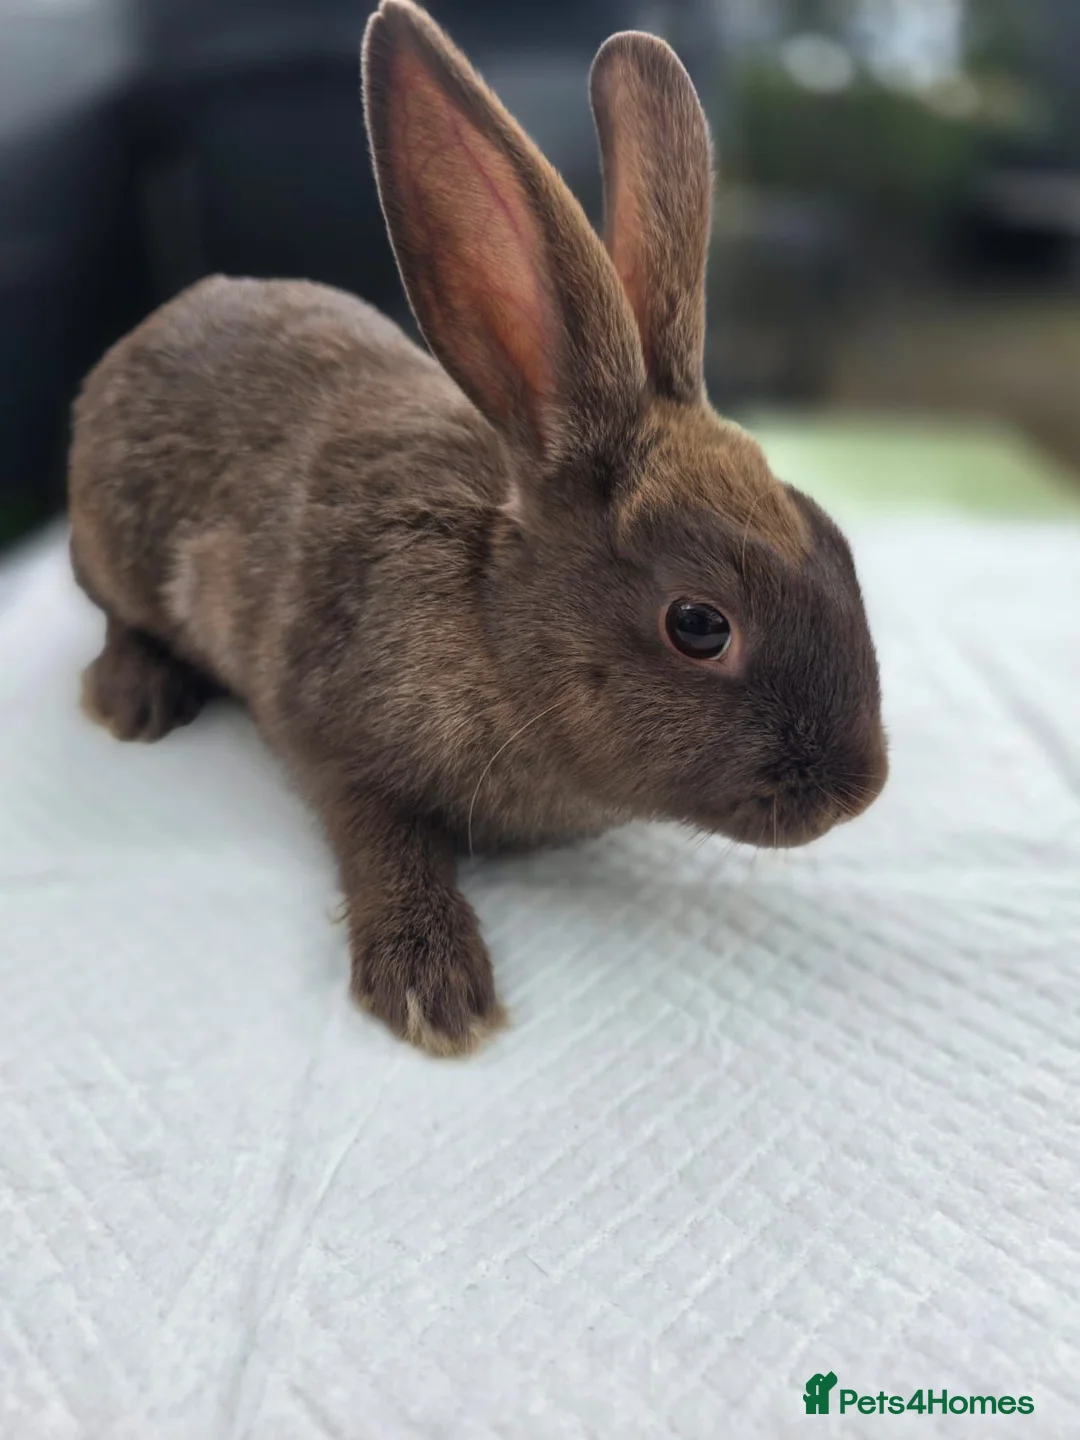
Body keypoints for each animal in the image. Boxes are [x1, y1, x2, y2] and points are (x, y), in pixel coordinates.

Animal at [67, 0, 888, 1056]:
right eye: (700, 625)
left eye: (837, 544)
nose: (859, 788)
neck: (494, 620)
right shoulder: (329, 729)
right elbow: (378, 836)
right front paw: (434, 988)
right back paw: (134, 696)